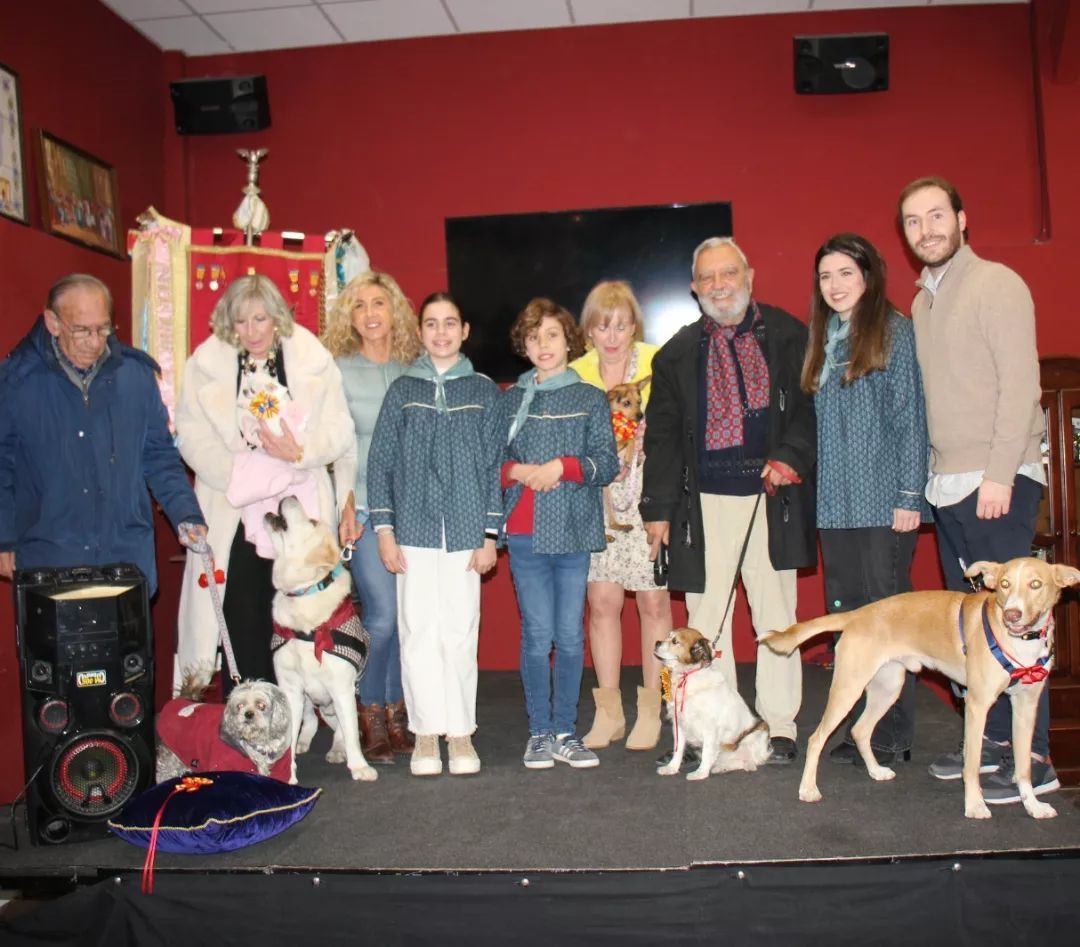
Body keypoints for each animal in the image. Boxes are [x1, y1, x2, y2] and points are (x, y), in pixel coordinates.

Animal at [263, 494, 378, 781]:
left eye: (313, 521)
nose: (290, 495)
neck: (303, 595)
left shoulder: (342, 686)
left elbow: (351, 732)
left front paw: (359, 767)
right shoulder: (290, 686)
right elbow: (290, 735)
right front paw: (288, 773)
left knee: (341, 729)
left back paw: (338, 751)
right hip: (306, 699)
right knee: (312, 721)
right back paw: (304, 741)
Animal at [652, 626, 773, 777]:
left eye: (675, 641)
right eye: (668, 635)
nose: (656, 642)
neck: (688, 676)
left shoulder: (710, 728)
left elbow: (707, 752)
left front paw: (700, 773)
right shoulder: (678, 724)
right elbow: (678, 749)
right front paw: (672, 768)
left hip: (757, 735)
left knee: (750, 762)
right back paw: (721, 768)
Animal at [764, 557, 1075, 816]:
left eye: (1036, 584)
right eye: (1004, 585)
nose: (1012, 614)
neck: (1018, 642)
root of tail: (859, 614)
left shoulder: (1026, 706)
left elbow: (1023, 767)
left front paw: (1033, 806)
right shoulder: (976, 705)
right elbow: (971, 764)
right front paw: (975, 805)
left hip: (888, 687)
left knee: (860, 729)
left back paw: (876, 771)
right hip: (848, 688)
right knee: (817, 738)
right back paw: (808, 789)